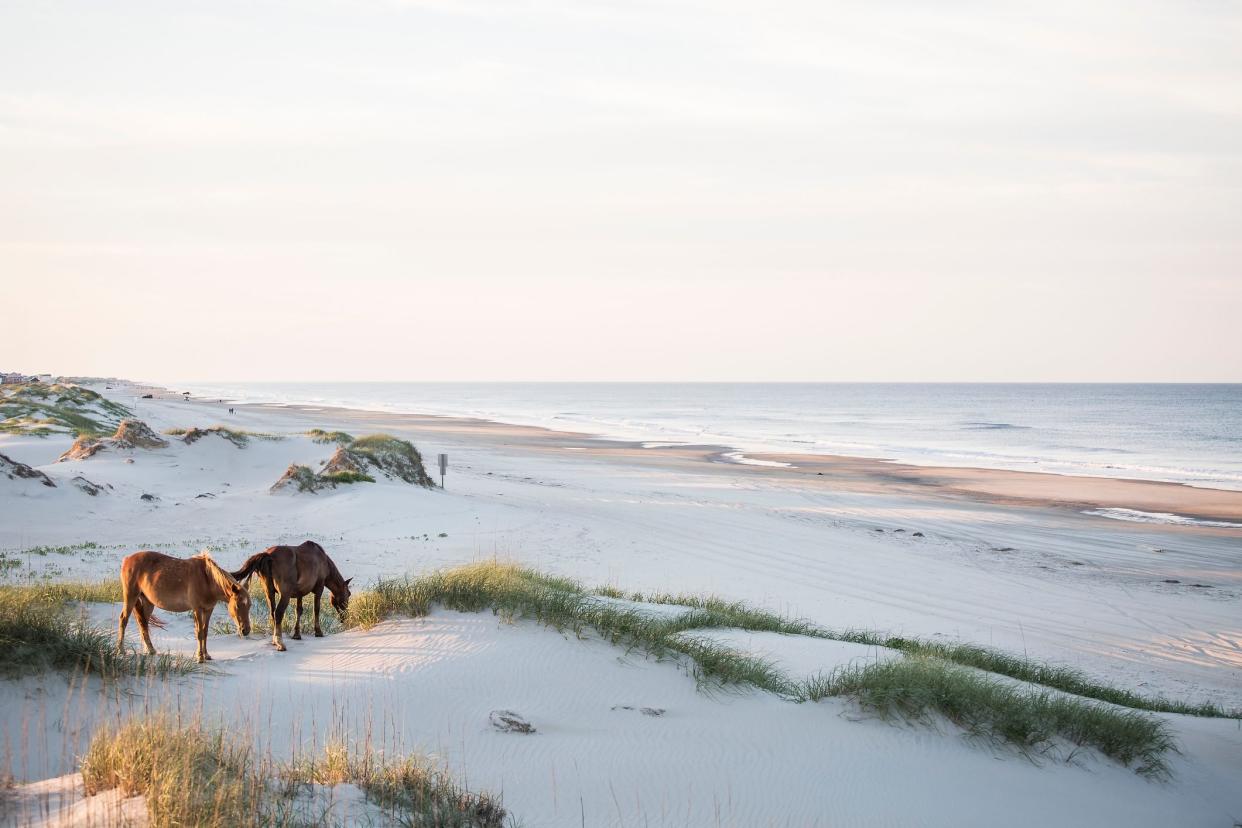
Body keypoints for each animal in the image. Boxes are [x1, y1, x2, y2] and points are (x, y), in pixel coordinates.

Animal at [116, 553, 252, 665]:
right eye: (238, 605)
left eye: (249, 605)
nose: (246, 630)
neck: (207, 579)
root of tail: (127, 559)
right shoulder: (197, 609)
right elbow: (199, 633)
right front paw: (200, 657)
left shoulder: (208, 610)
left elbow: (205, 632)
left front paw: (206, 655)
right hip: (131, 596)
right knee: (124, 620)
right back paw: (121, 650)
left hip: (148, 602)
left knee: (143, 623)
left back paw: (150, 650)